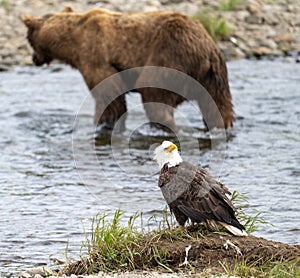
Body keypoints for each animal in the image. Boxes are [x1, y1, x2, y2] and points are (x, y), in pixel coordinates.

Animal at [21, 6, 233, 132]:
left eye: (28, 38)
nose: (33, 59)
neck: (72, 42)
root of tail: (208, 51)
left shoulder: (96, 56)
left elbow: (109, 95)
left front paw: (103, 124)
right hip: (215, 76)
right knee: (217, 105)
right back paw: (221, 127)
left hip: (171, 56)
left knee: (155, 96)